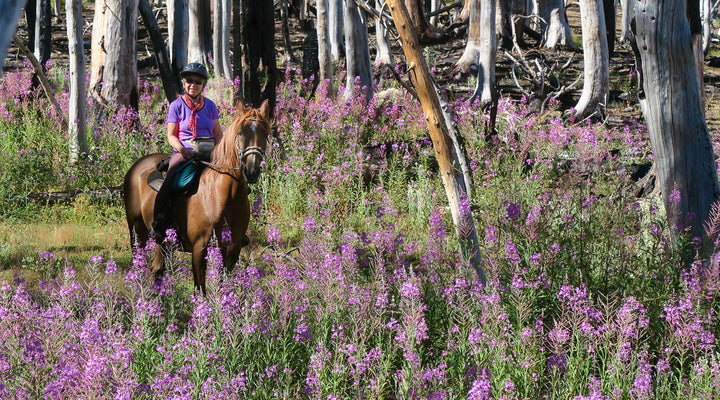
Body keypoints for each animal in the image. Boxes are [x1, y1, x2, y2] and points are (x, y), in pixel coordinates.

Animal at [123, 99, 271, 292]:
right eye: (240, 132)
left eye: (265, 134)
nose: (251, 171)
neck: (225, 196)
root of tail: (137, 166)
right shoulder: (199, 249)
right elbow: (200, 289)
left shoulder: (232, 248)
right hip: (136, 231)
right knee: (139, 265)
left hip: (165, 242)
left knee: (157, 269)